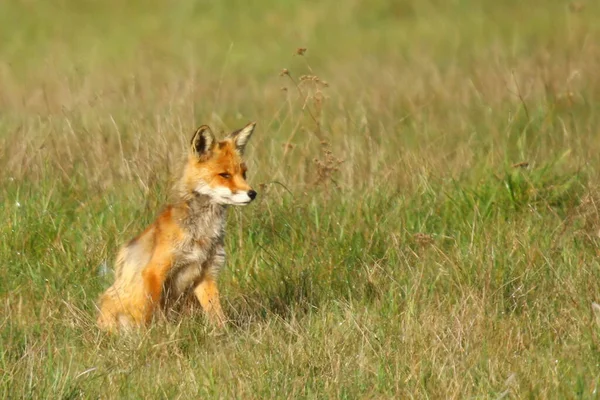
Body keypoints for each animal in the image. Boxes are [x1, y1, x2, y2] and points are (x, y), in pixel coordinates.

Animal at [96, 121, 258, 332]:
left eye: (244, 173)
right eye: (225, 175)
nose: (252, 193)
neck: (201, 233)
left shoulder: (206, 274)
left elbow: (218, 315)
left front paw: (225, 334)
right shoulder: (155, 271)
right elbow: (149, 313)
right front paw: (150, 336)